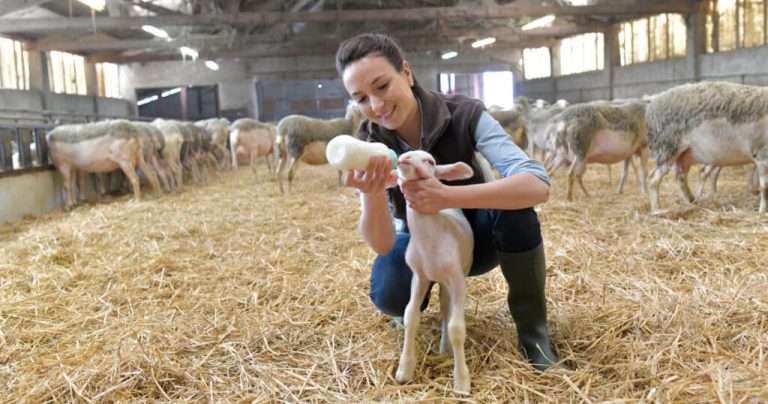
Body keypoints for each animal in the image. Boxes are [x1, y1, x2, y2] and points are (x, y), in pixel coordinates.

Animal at [388, 150, 476, 392]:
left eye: (430, 161)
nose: (405, 158)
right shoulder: (419, 277)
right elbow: (410, 315)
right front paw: (404, 370)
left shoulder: (457, 281)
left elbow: (457, 328)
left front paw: (461, 381)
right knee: (445, 309)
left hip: (455, 275)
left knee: (448, 311)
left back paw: (446, 347)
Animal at [648, 82, 768, 215]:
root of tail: (653, 105)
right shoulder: (762, 153)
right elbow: (765, 186)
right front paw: (762, 212)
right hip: (667, 147)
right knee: (654, 178)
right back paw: (657, 210)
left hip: (684, 154)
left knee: (682, 177)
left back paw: (693, 201)